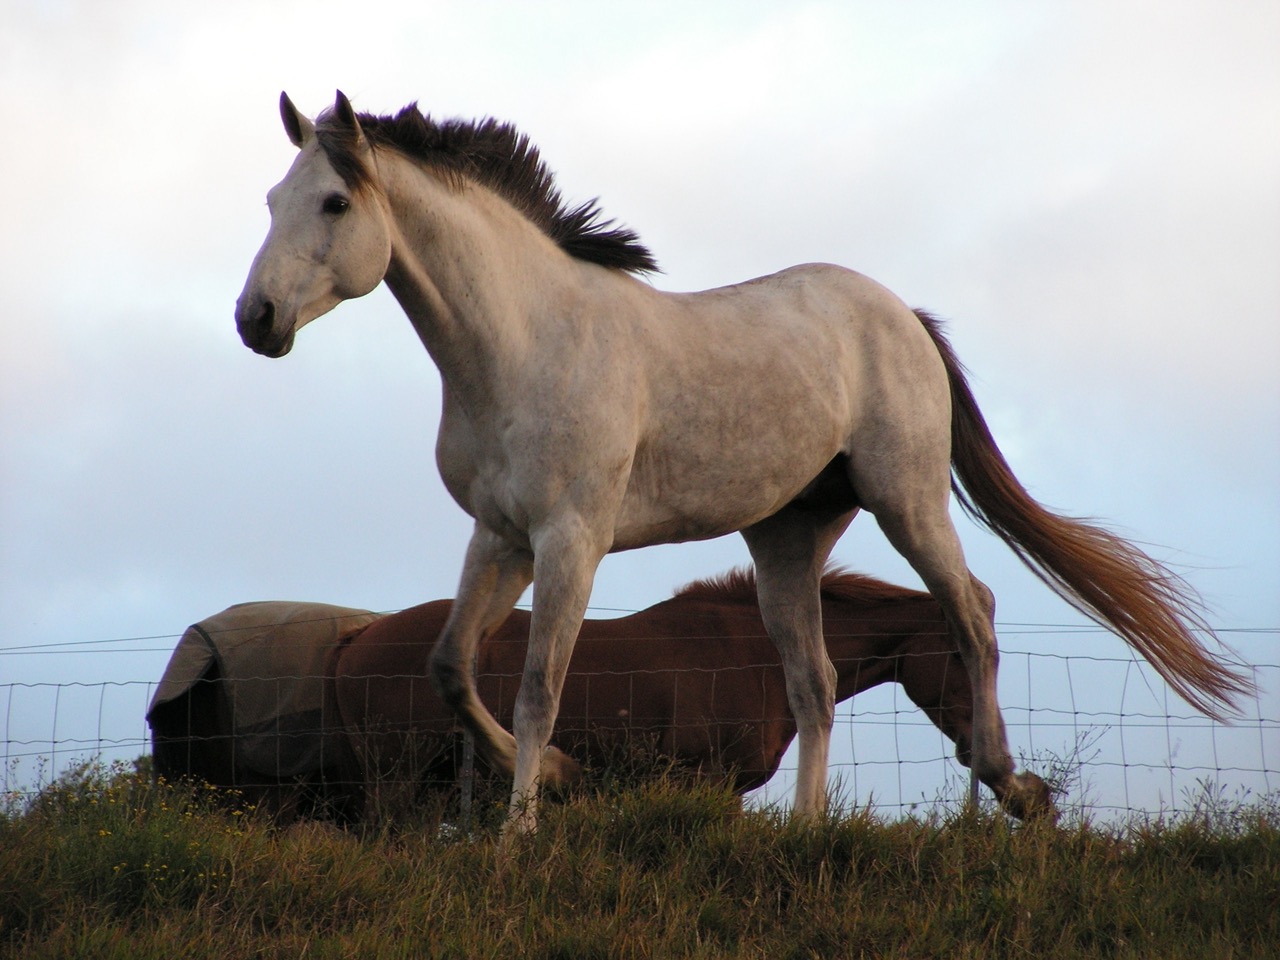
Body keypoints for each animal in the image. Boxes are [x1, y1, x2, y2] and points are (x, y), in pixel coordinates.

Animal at [330, 568, 988, 824]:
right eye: (960, 652)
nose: (977, 747)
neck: (759, 653)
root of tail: (360, 637)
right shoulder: (708, 781)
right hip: (397, 779)